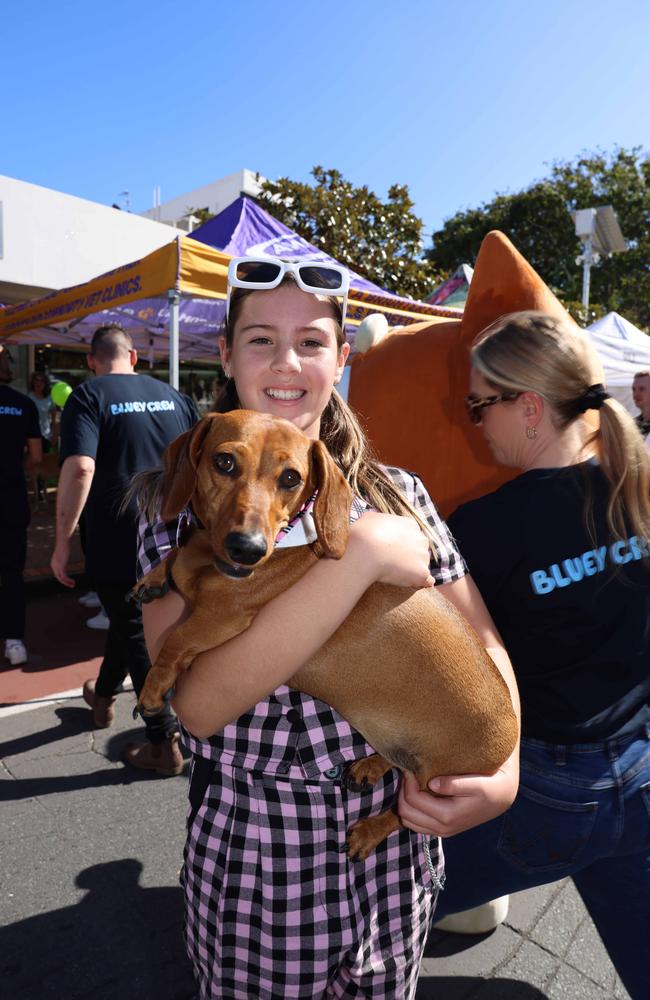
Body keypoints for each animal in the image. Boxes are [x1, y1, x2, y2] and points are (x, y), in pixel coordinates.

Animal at [137, 410, 516, 856]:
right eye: (224, 461)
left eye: (291, 478)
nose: (247, 549)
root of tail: (512, 737)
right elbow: (174, 557)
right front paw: (155, 576)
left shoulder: (222, 617)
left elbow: (176, 640)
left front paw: (153, 689)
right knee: (399, 763)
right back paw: (371, 765)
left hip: (436, 784)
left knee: (407, 814)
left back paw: (369, 830)